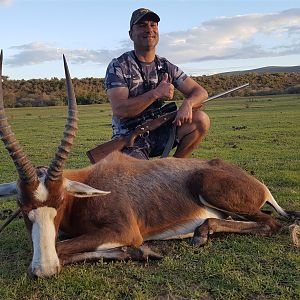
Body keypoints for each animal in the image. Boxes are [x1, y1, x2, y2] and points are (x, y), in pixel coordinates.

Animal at [0, 50, 296, 278]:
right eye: (22, 205)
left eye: (61, 202)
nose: (44, 270)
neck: (89, 188)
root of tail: (259, 185)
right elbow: (60, 246)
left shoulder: (124, 230)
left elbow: (62, 249)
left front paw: (143, 250)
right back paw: (202, 231)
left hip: (213, 190)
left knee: (270, 223)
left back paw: (200, 233)